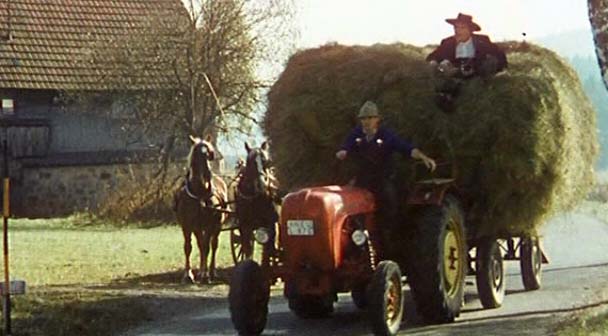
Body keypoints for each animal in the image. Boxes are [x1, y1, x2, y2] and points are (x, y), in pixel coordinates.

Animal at [175, 135, 227, 282]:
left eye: (209, 151)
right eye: (197, 152)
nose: (208, 174)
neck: (199, 193)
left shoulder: (209, 225)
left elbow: (207, 247)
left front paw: (204, 273)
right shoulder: (187, 225)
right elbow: (188, 247)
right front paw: (188, 274)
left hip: (217, 226)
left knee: (213, 245)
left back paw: (211, 271)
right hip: (198, 228)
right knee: (200, 245)